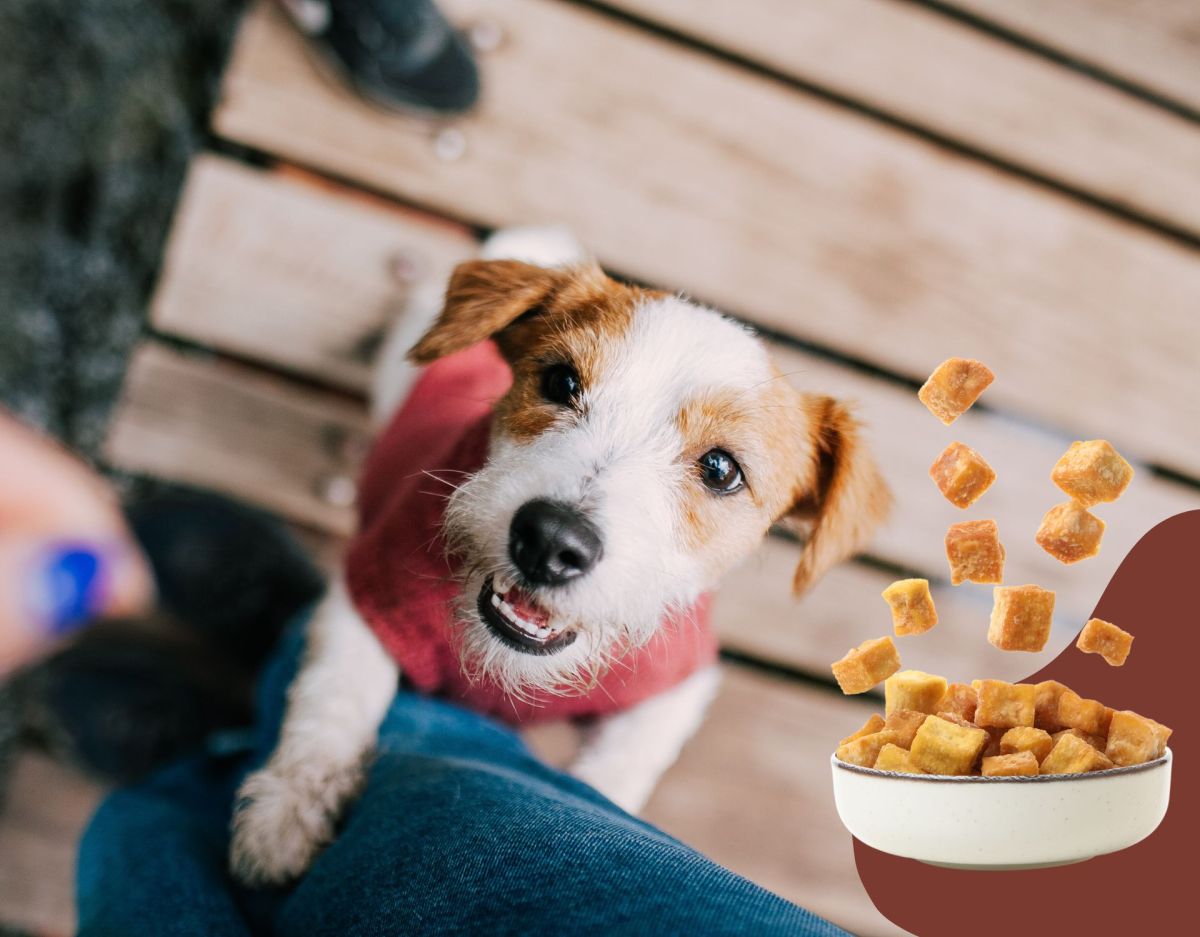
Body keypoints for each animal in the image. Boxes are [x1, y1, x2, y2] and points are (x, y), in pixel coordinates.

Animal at [226, 226, 892, 883]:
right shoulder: (368, 594)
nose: (550, 541)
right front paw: (284, 818)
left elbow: (613, 776)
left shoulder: (673, 687)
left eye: (721, 469)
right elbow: (334, 703)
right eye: (561, 382)